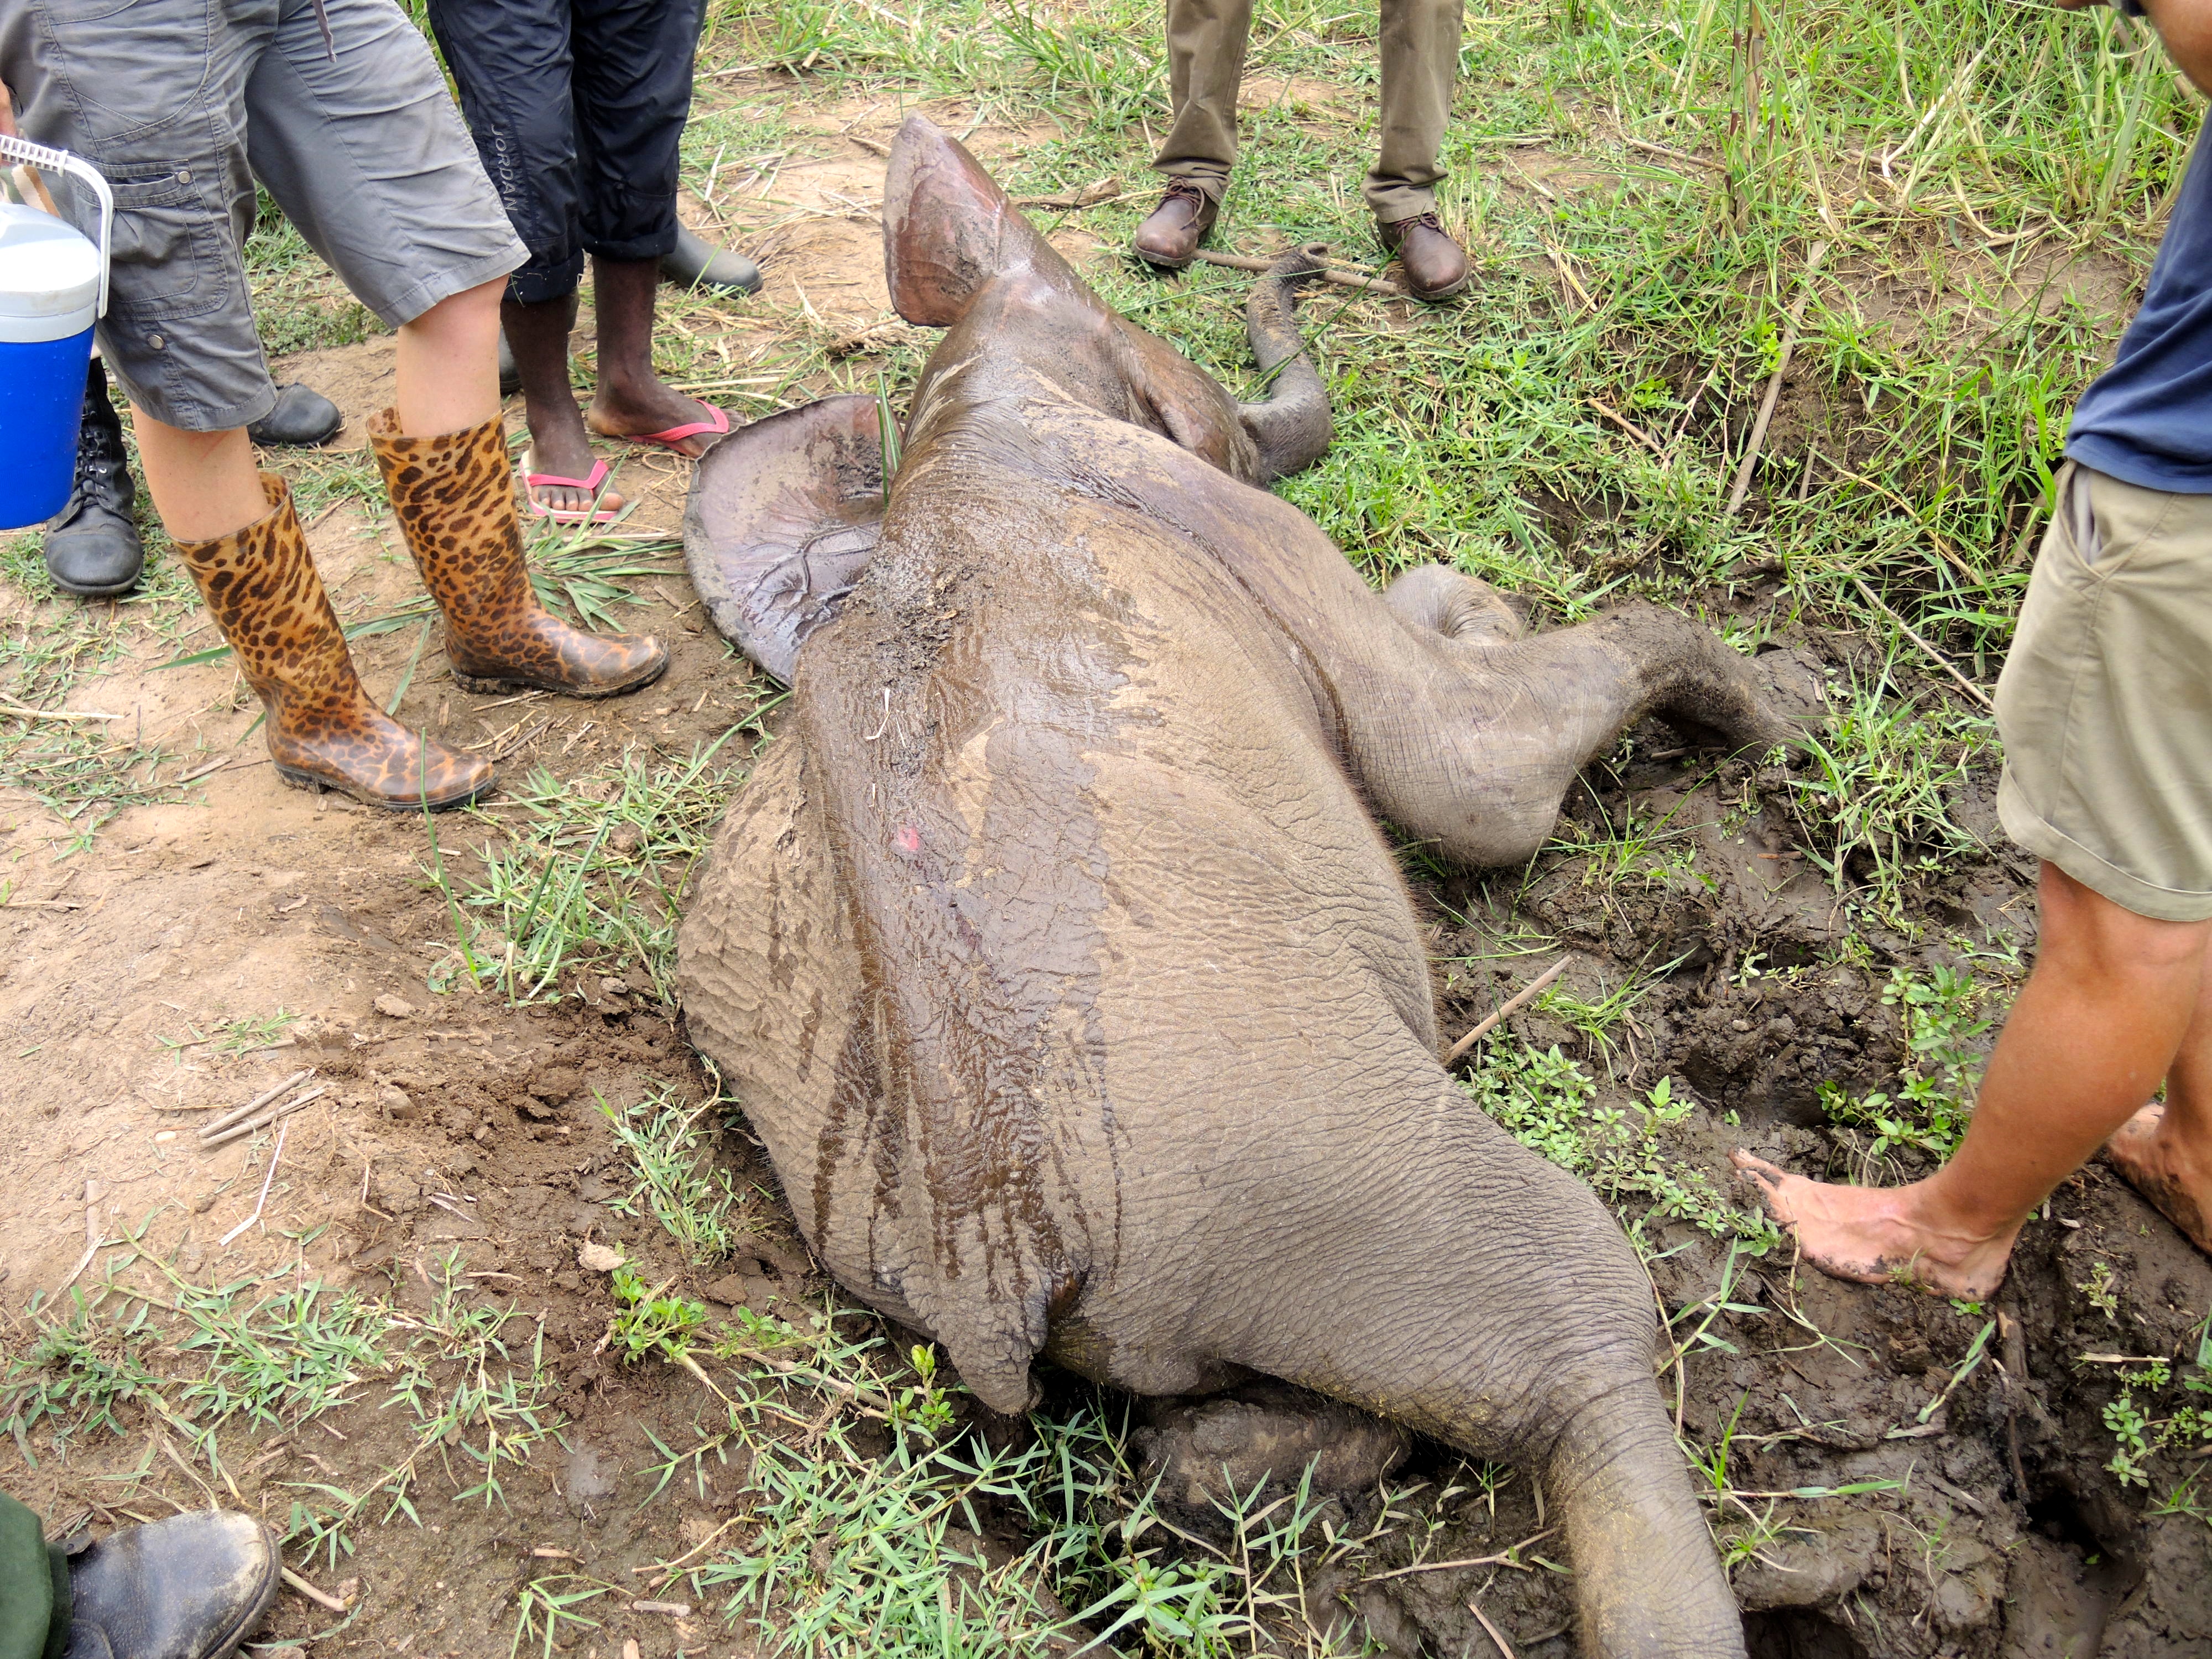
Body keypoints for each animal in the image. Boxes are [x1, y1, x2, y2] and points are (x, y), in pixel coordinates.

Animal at [677, 115, 1795, 1657]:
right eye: (1170, 367)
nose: (1304, 263)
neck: (969, 403)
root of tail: (989, 1255)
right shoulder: (1236, 529)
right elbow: (1471, 781)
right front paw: (1787, 721)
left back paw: (1208, 1464)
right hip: (1301, 1144)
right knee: (1580, 1317)